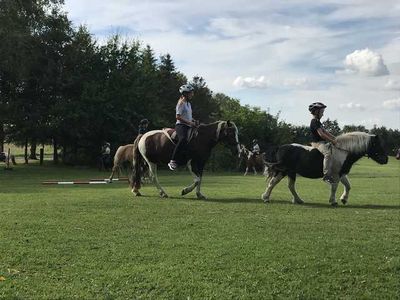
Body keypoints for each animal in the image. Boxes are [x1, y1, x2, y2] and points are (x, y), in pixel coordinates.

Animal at [260, 132, 390, 206]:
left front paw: (344, 199)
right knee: (273, 183)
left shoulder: (342, 174)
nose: (386, 159)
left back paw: (298, 200)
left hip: (290, 172)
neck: (343, 152)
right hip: (282, 171)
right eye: (377, 144)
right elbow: (334, 187)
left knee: (290, 186)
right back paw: (266, 198)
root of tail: (279, 147)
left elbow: (348, 186)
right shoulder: (336, 175)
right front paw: (333, 201)